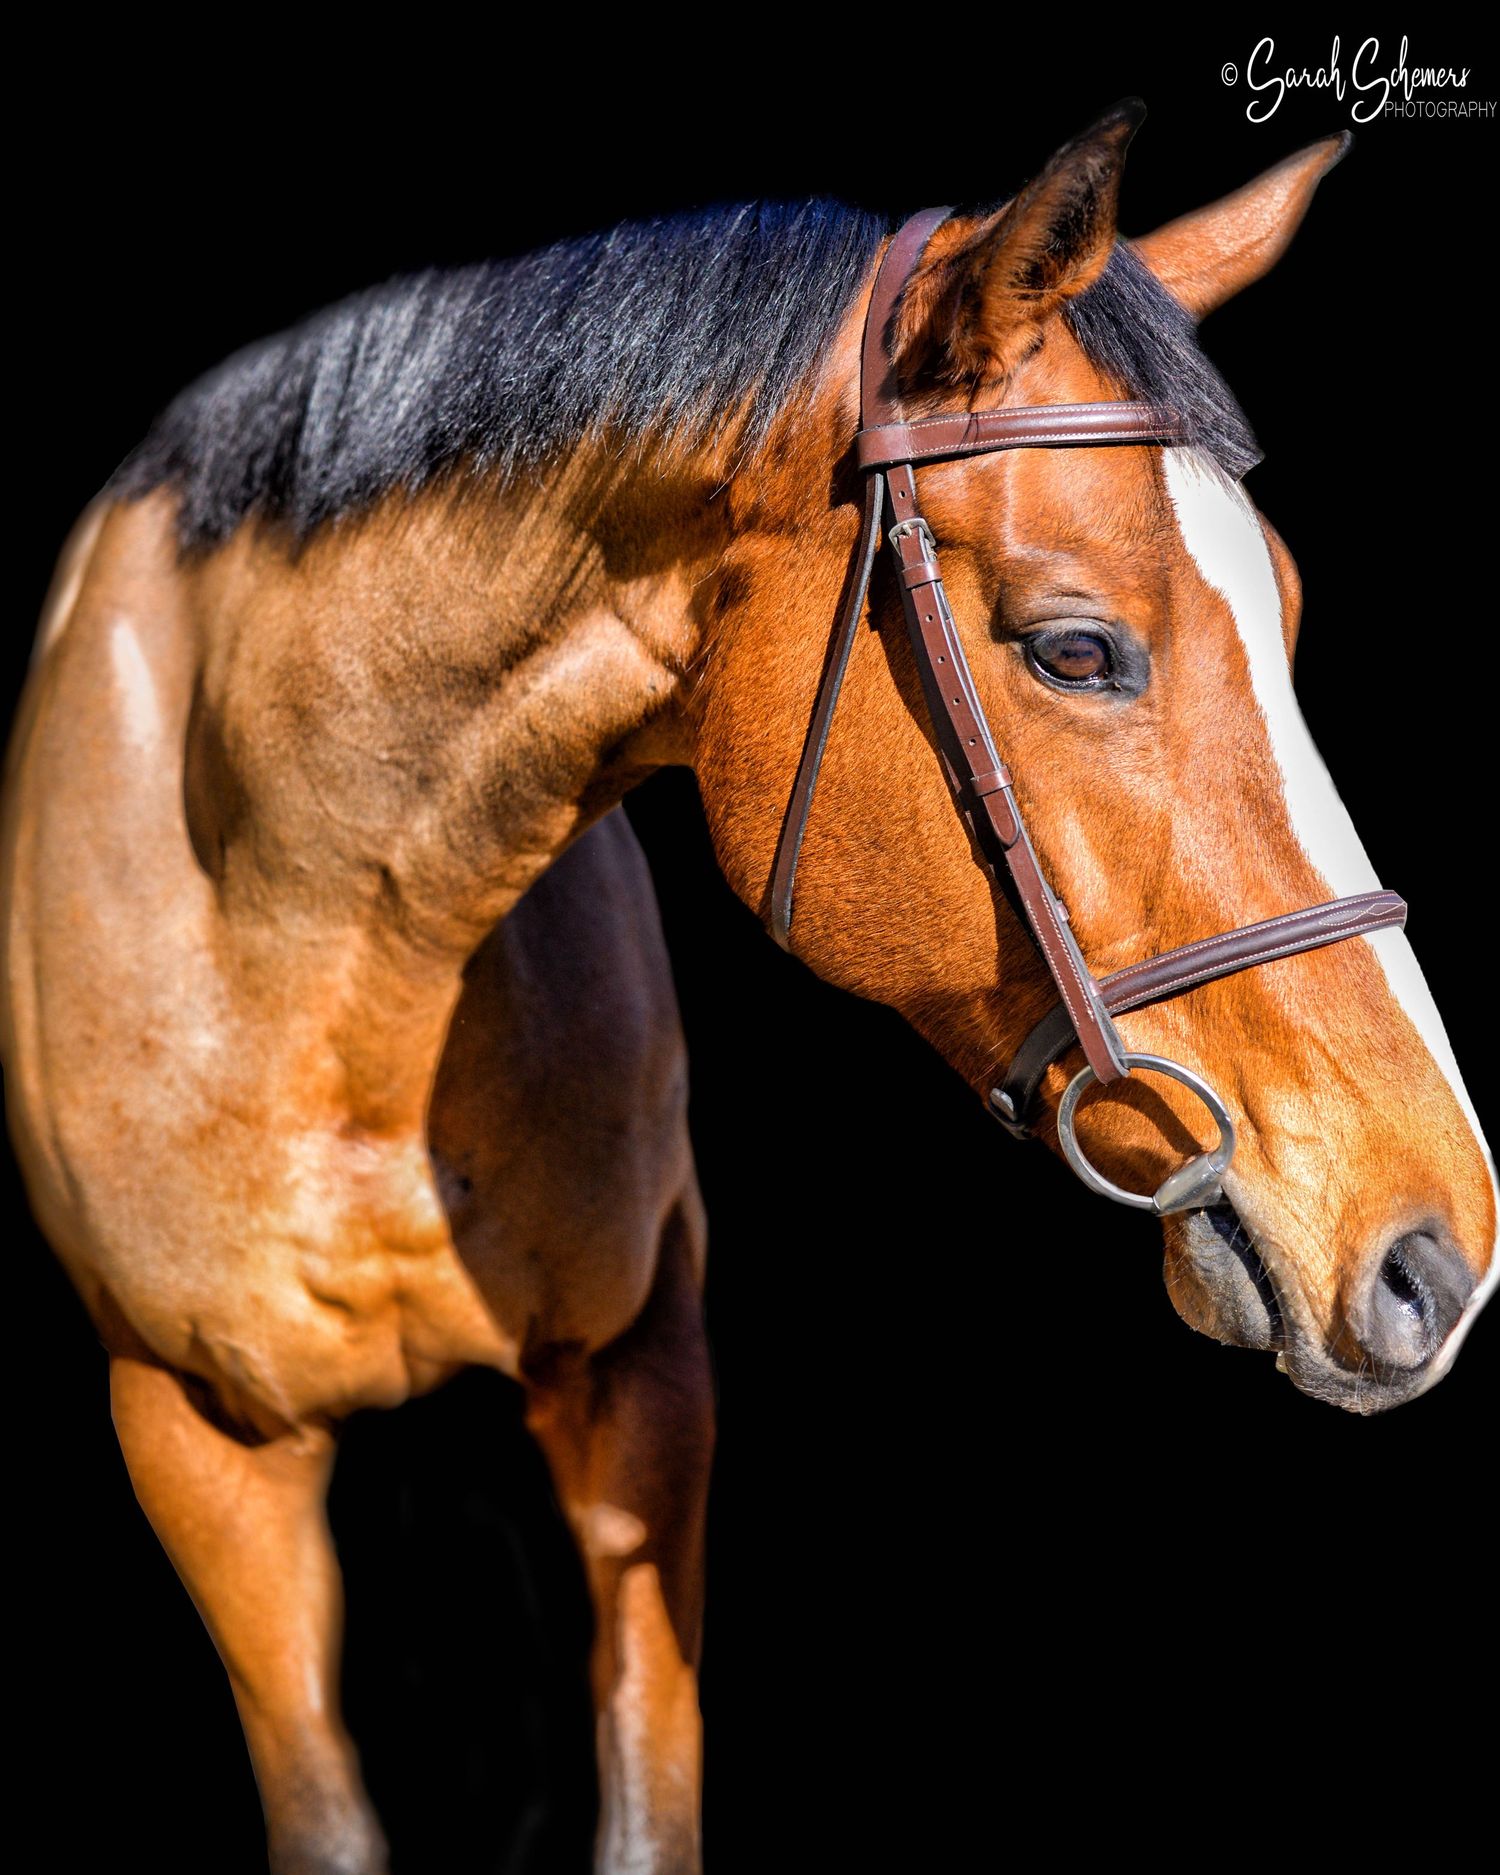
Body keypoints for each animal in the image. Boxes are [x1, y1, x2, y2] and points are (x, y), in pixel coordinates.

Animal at [2, 100, 1494, 1874]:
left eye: (1289, 611)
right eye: (1076, 649)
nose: (1441, 1252)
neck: (311, 928)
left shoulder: (645, 1374)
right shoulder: (200, 1446)